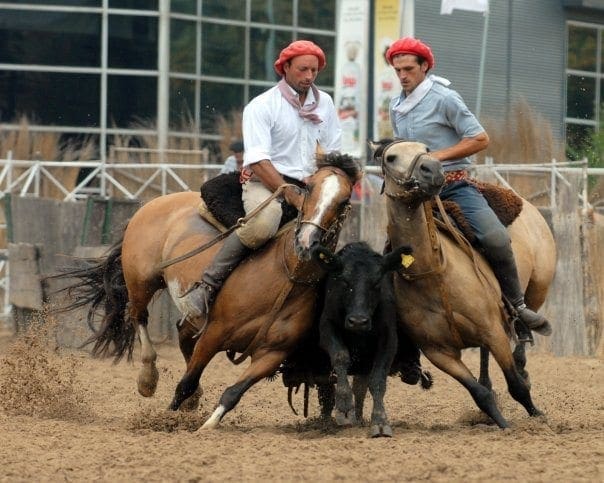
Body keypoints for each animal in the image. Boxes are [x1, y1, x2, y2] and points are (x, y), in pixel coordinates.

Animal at [50, 153, 358, 430]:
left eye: (344, 201)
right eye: (309, 188)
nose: (307, 241)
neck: (287, 276)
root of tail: (156, 202)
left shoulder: (272, 354)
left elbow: (233, 392)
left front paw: (207, 425)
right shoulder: (215, 333)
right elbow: (185, 383)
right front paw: (167, 419)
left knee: (181, 333)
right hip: (141, 283)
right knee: (139, 318)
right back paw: (148, 378)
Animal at [378, 139, 556, 428]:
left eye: (426, 149)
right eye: (391, 157)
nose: (432, 169)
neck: (432, 273)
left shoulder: (493, 332)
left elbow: (516, 386)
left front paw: (537, 416)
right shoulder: (439, 353)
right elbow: (479, 393)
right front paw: (502, 423)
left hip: (539, 286)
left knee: (524, 323)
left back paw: (524, 351)